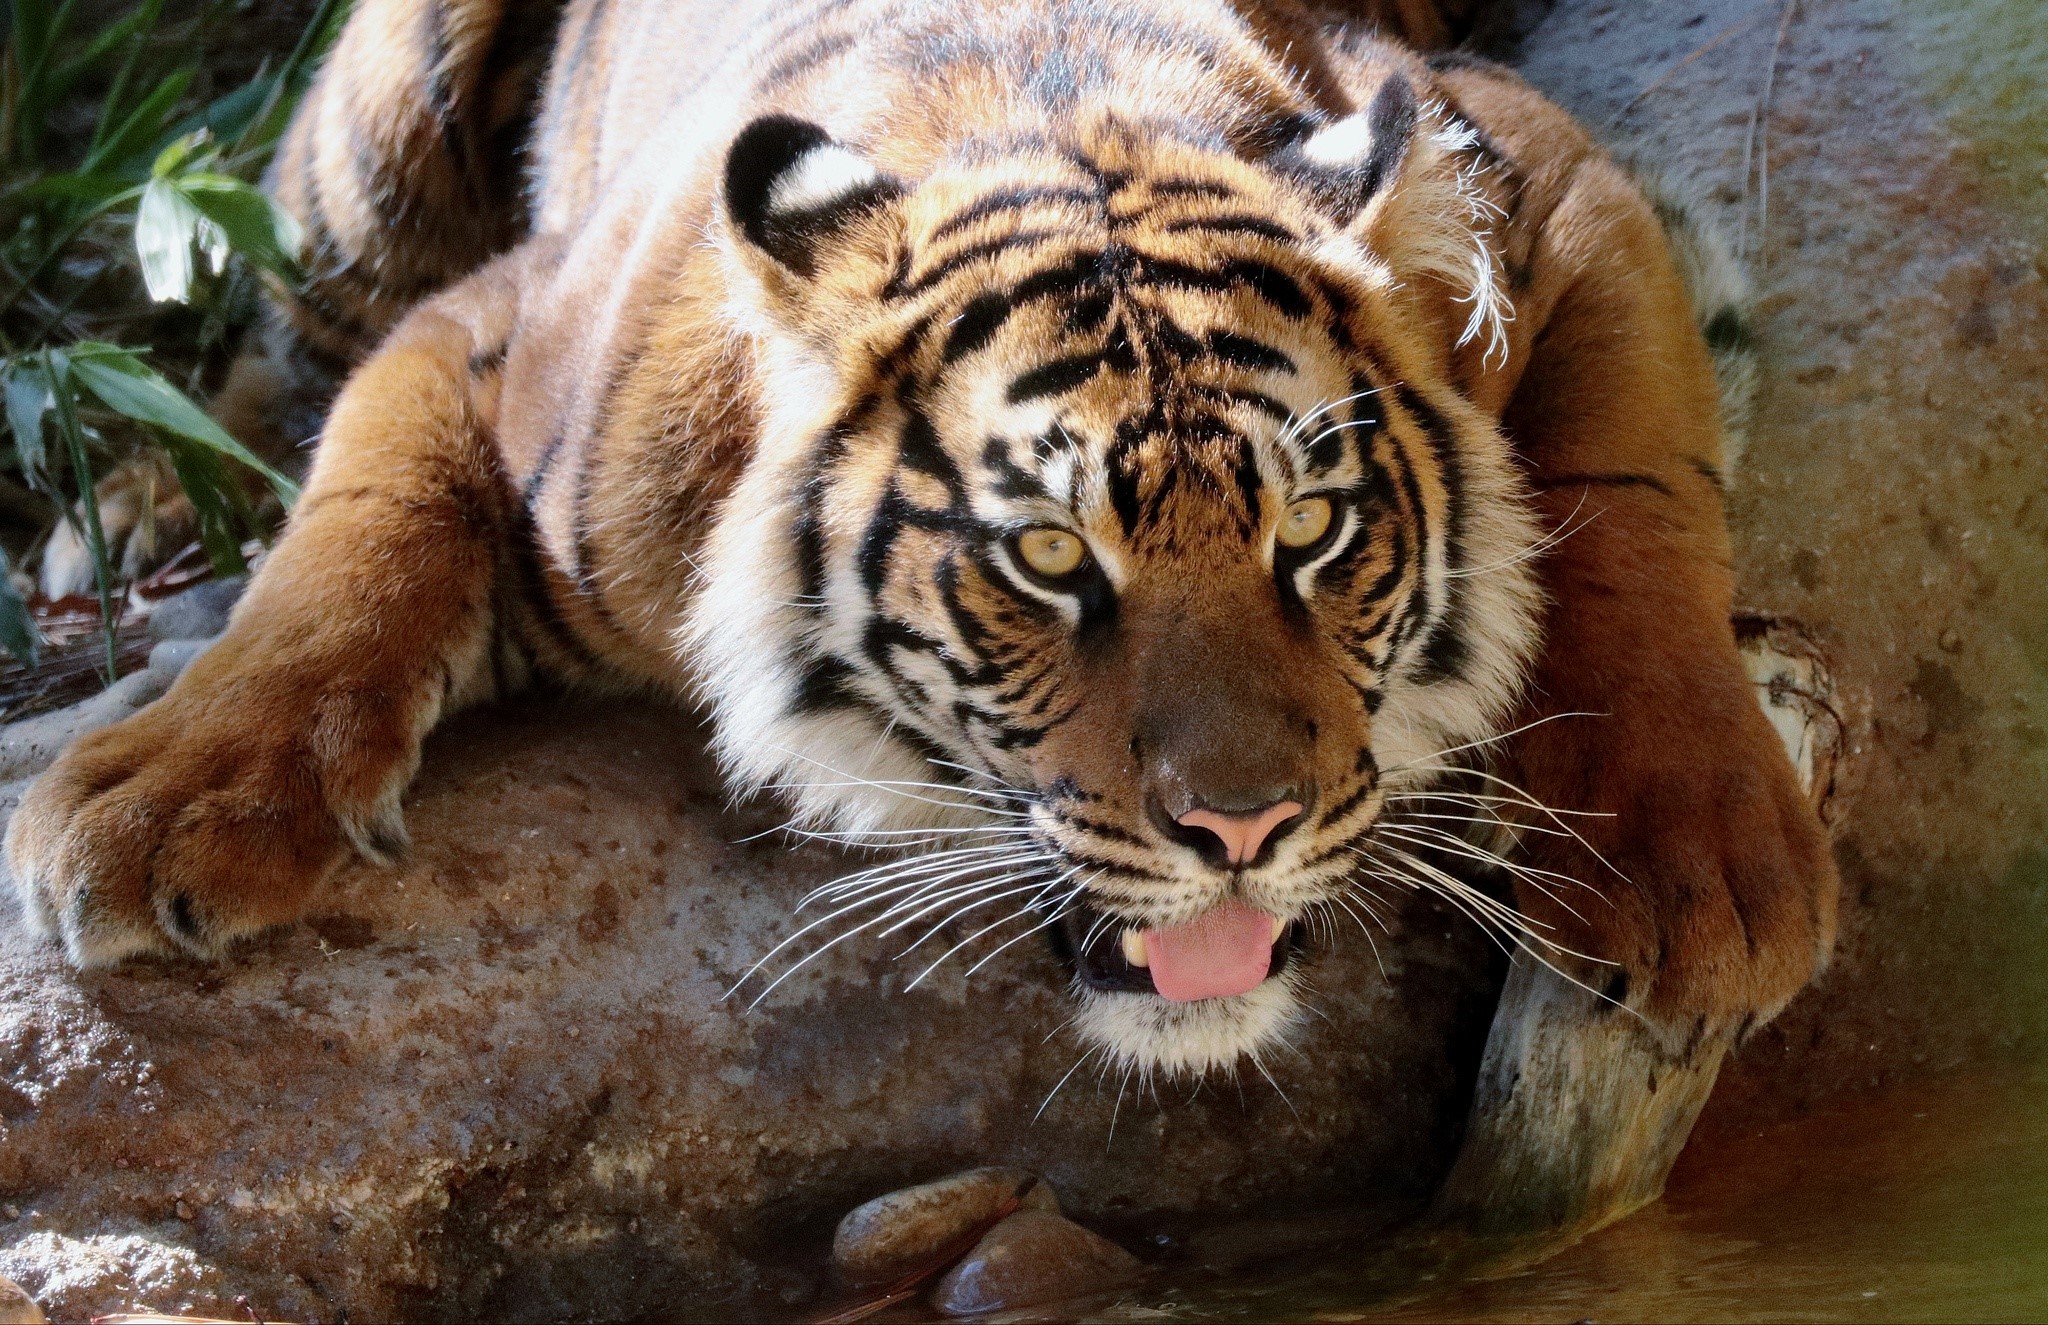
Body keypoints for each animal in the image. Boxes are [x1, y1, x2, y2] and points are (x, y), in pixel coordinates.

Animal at [9, 0, 1835, 1106]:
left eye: (1312, 533)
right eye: (1045, 558)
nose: (1242, 831)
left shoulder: (1554, 184)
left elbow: (1632, 495)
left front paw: (1703, 869)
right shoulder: (483, 330)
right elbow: (350, 535)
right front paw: (170, 797)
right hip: (376, 133)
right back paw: (136, 508)